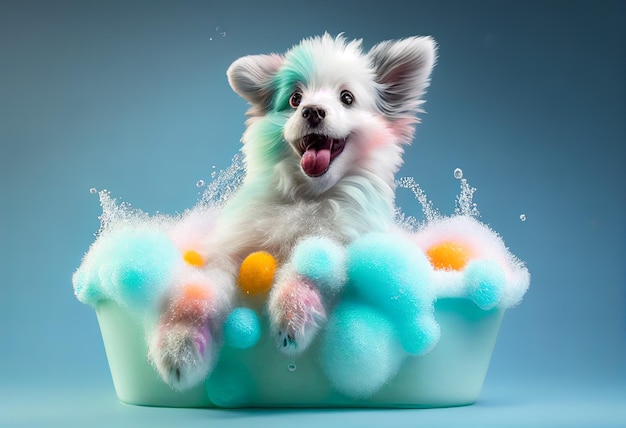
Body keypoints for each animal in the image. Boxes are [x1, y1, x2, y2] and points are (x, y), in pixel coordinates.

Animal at [149, 32, 436, 388]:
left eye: (347, 98)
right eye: (295, 99)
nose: (312, 111)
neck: (307, 198)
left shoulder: (340, 243)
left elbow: (310, 267)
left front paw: (292, 316)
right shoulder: (229, 250)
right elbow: (198, 293)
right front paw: (180, 345)